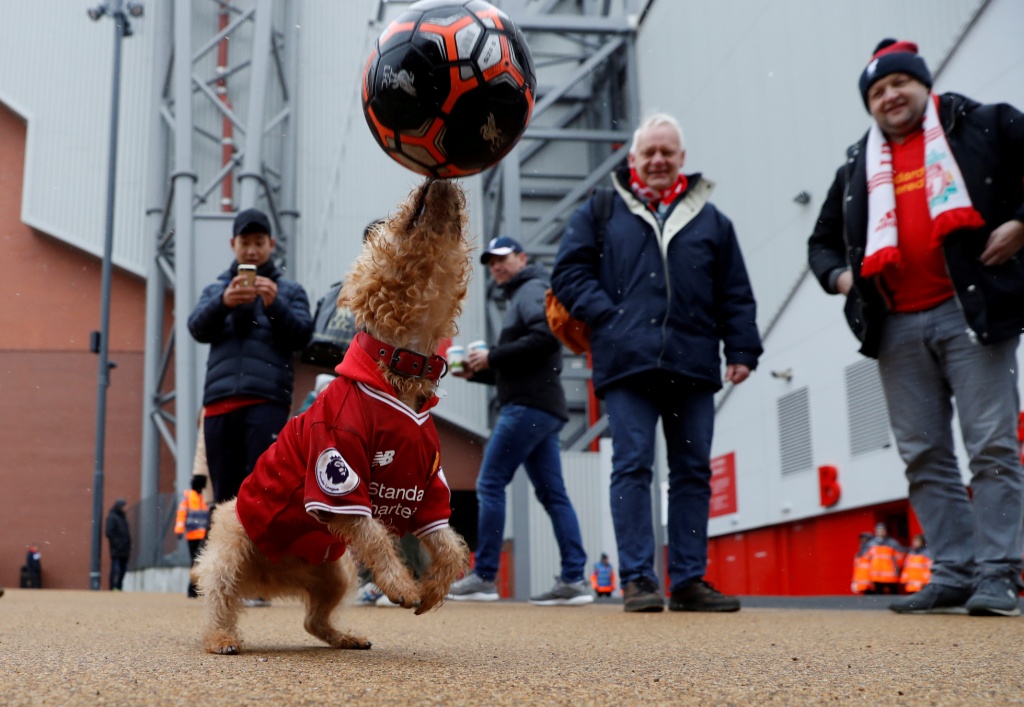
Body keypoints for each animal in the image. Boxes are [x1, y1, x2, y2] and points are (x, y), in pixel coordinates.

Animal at [193, 179, 473, 651]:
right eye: (392, 224)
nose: (436, 182)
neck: (400, 367)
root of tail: (267, 580)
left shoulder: (428, 484)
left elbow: (448, 545)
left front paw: (433, 590)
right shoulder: (337, 470)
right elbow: (375, 534)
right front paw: (402, 585)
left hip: (333, 573)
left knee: (313, 621)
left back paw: (344, 637)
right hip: (230, 549)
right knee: (218, 599)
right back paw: (219, 637)